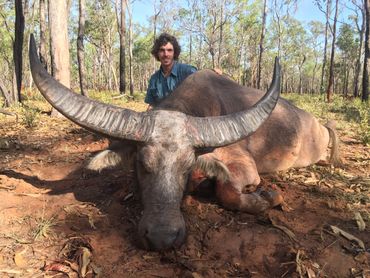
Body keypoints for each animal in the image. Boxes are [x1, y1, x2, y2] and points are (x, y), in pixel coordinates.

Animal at [30, 33, 340, 251]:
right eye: (142, 165)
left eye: (187, 166)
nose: (162, 237)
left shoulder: (243, 165)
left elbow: (228, 192)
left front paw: (269, 196)